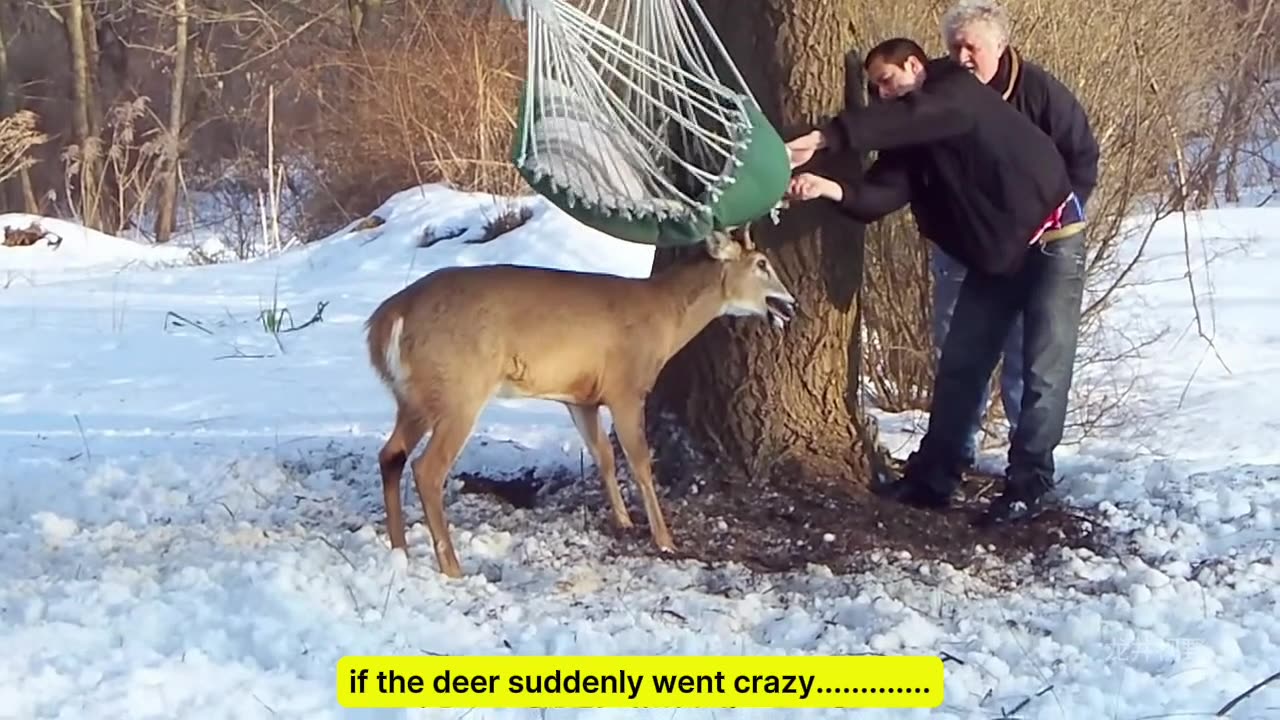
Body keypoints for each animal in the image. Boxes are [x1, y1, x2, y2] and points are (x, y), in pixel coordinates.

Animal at [366, 221, 793, 573]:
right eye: (761, 264)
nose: (790, 304)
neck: (666, 318)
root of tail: (385, 320)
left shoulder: (581, 398)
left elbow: (603, 455)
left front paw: (624, 521)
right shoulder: (626, 387)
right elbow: (640, 462)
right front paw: (664, 540)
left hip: (414, 397)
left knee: (390, 455)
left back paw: (399, 551)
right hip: (459, 390)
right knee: (427, 468)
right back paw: (452, 566)